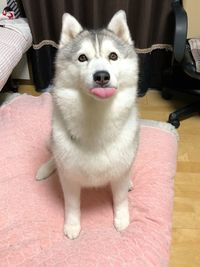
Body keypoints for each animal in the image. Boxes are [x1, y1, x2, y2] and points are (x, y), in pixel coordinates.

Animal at [36, 10, 139, 241]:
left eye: (113, 56)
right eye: (82, 58)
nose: (101, 76)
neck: (96, 116)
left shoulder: (120, 170)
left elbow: (120, 198)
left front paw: (121, 218)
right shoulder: (69, 177)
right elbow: (72, 204)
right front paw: (72, 225)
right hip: (53, 141)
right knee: (54, 156)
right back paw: (45, 168)